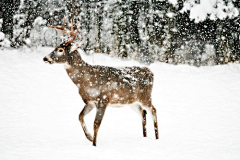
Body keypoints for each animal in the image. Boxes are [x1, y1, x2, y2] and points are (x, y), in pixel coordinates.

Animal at [43, 18, 158, 146]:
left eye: (60, 50)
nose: (45, 58)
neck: (86, 81)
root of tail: (151, 72)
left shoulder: (103, 99)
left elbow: (96, 124)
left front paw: (94, 144)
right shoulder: (90, 101)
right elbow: (80, 116)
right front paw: (89, 137)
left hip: (145, 96)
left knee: (153, 110)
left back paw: (157, 138)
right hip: (131, 101)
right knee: (143, 112)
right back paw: (144, 137)